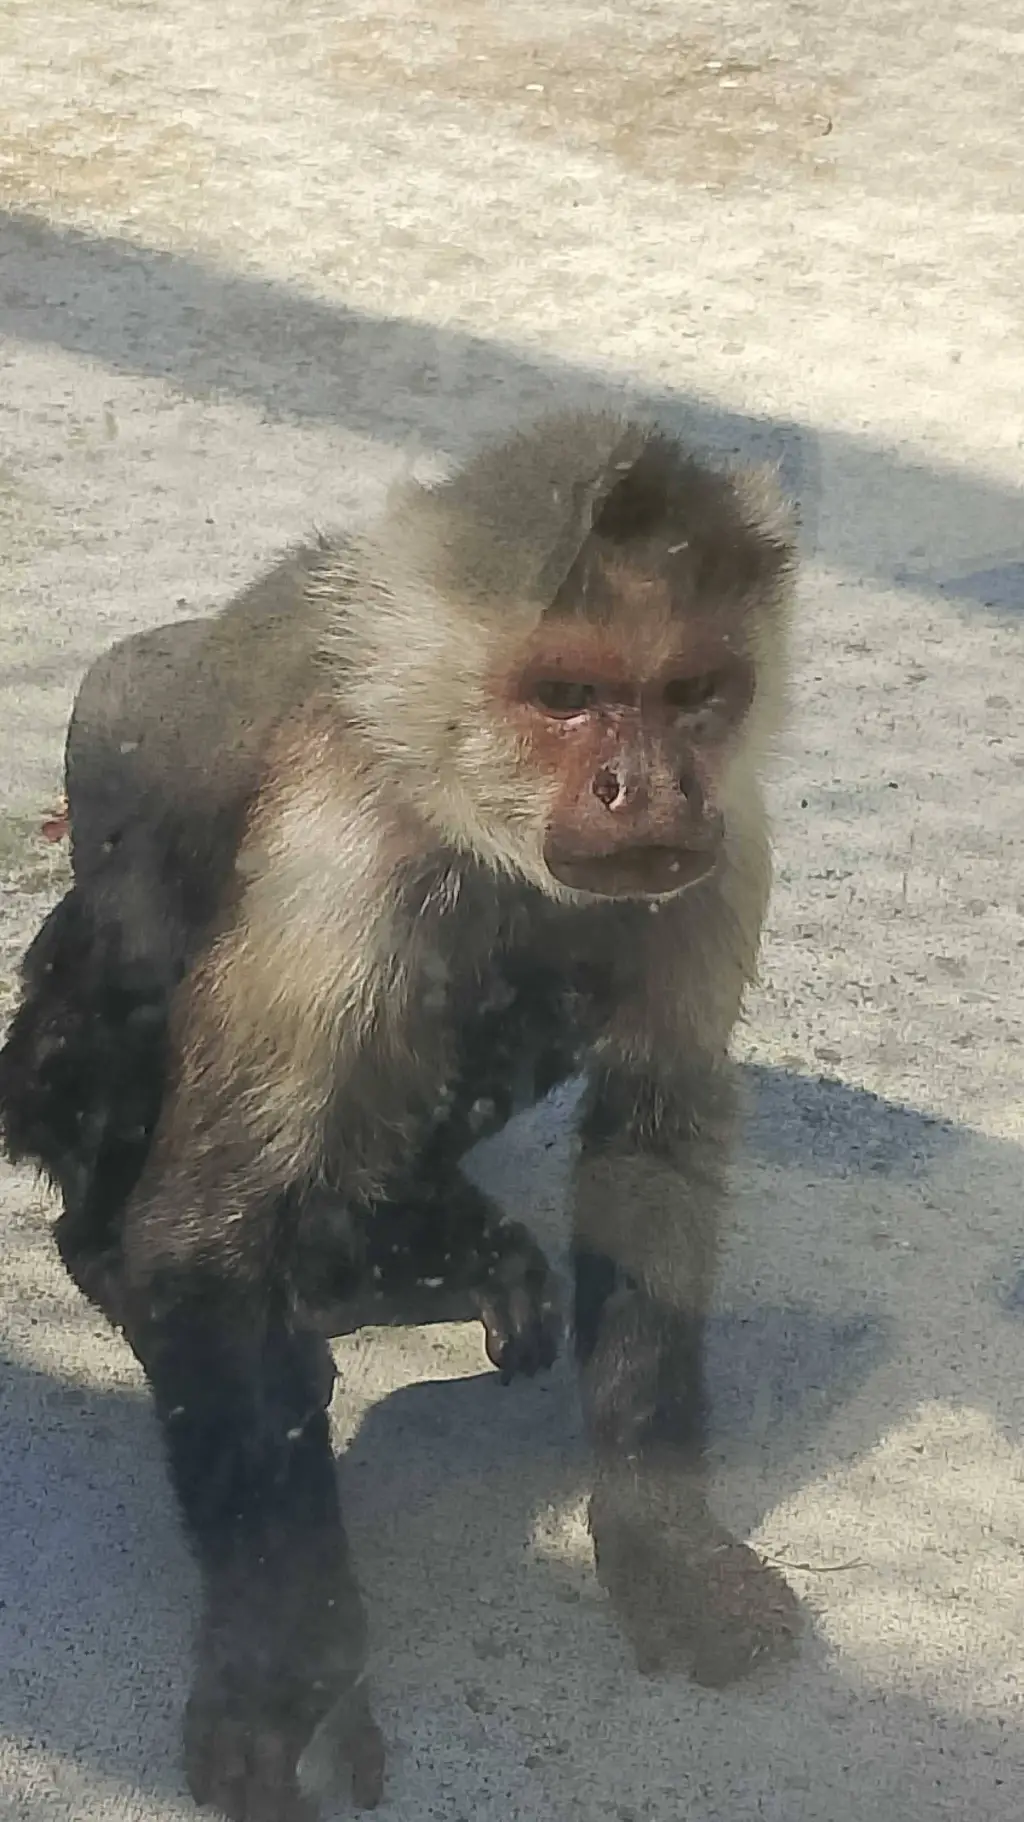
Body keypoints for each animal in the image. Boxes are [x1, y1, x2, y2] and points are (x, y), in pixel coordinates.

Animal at [0, 410, 801, 1822]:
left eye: (694, 695)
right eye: (566, 695)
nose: (647, 785)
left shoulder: (723, 836)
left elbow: (654, 1133)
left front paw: (658, 1534)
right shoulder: (338, 847)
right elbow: (201, 1243)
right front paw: (287, 1668)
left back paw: (414, 1238)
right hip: (62, 1056)